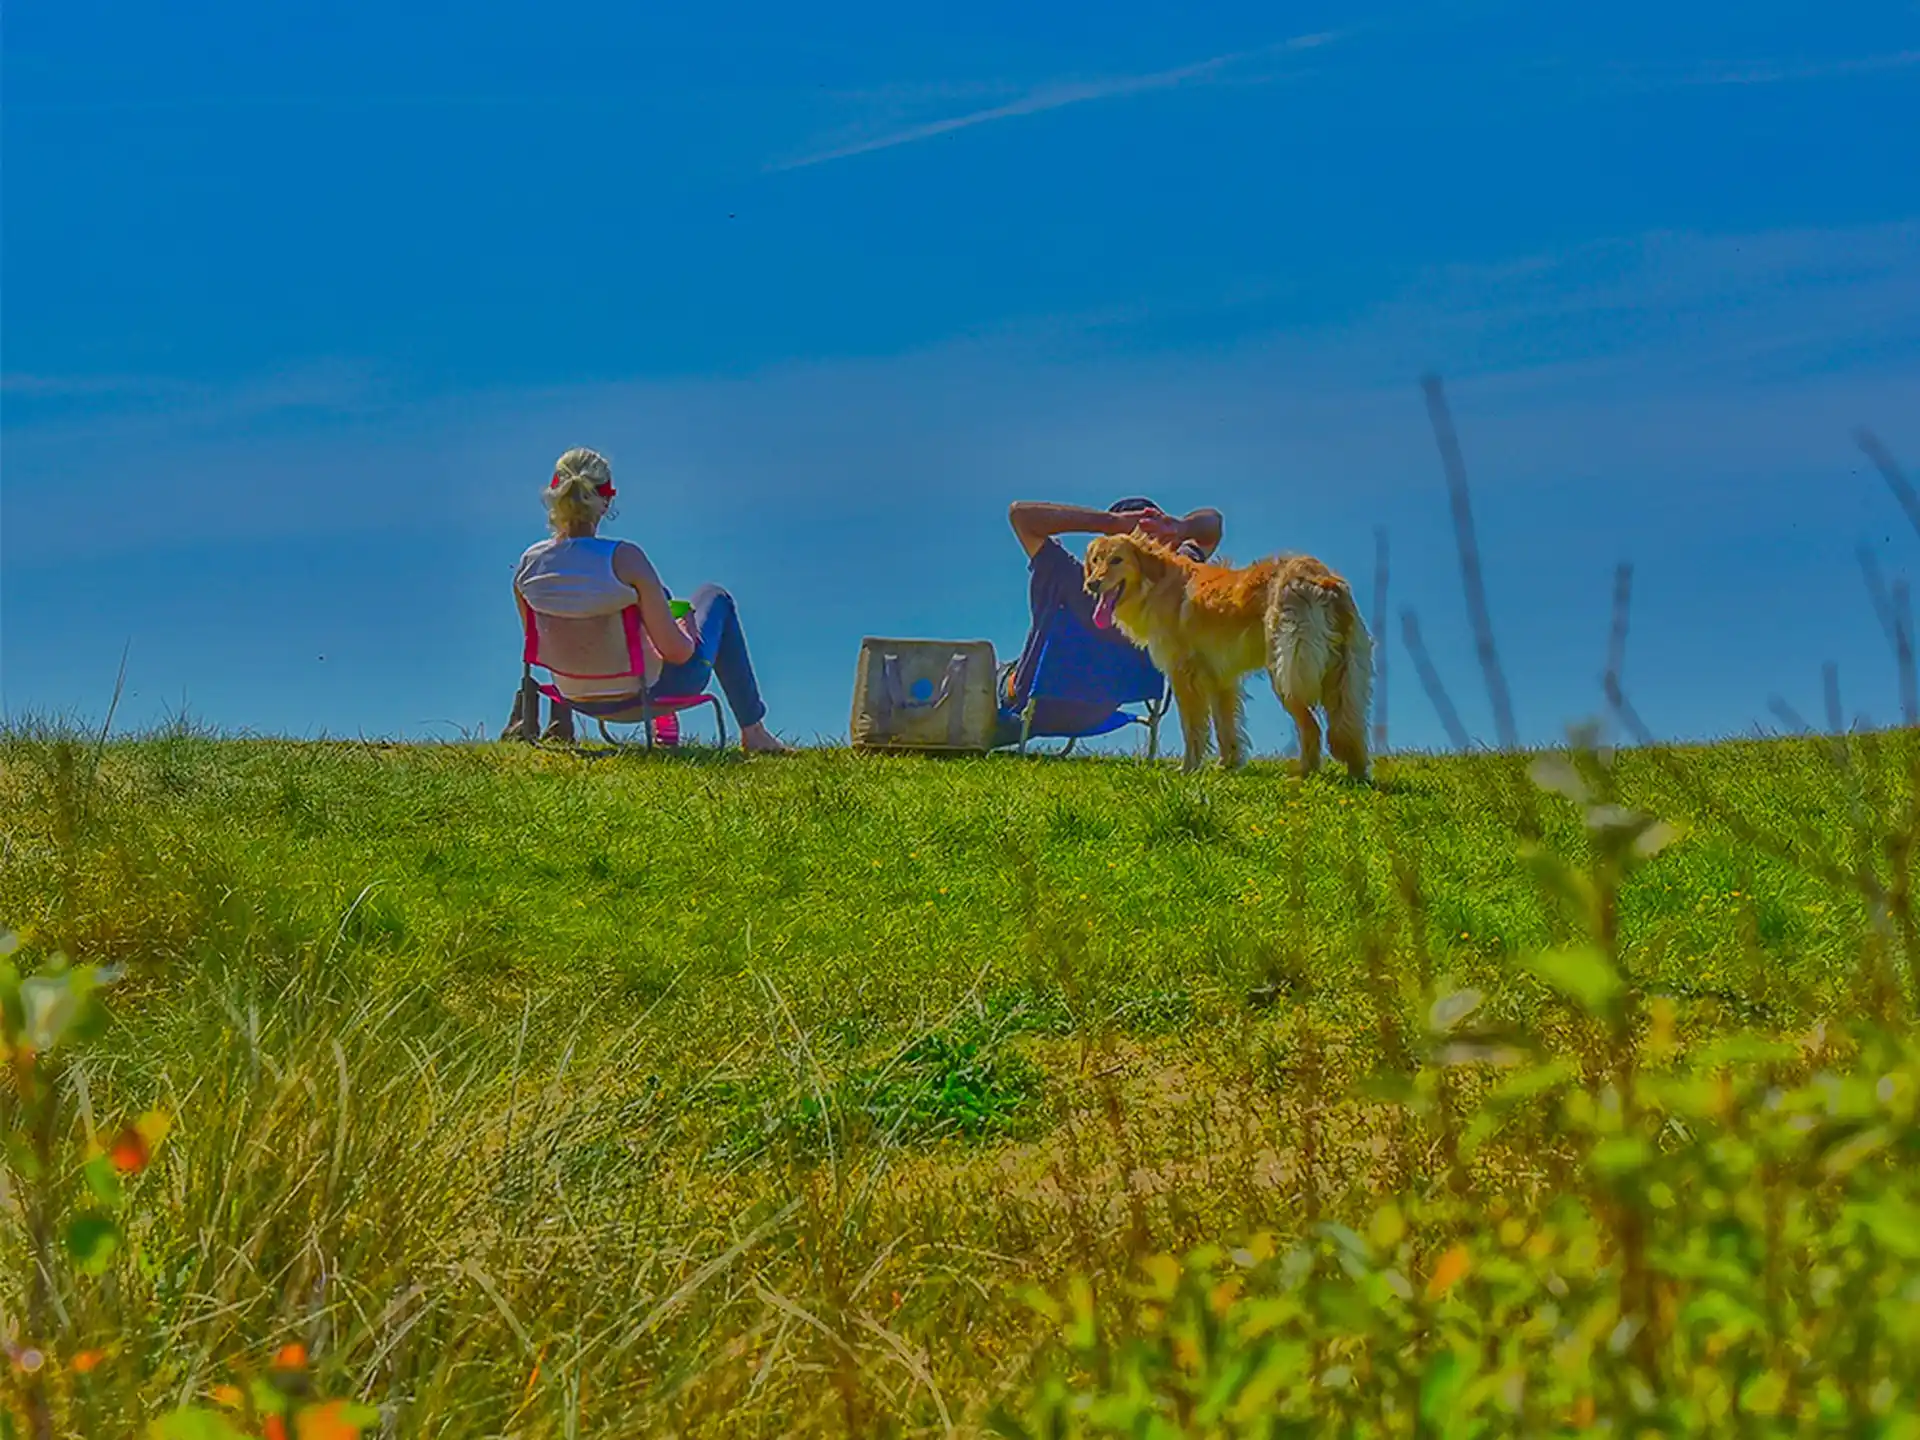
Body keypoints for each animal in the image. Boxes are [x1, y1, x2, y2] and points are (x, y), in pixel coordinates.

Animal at [1090, 537, 1374, 779]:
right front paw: (1226, 765)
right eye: (1095, 560)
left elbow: (1193, 728)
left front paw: (1188, 768)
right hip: (1342, 675)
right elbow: (1225, 728)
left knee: (1312, 727)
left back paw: (1303, 772)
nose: (1092, 583)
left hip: (1285, 673)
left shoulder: (1184, 675)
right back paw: (1356, 774)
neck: (1157, 579)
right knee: (1347, 728)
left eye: (1116, 560)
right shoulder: (1221, 680)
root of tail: (1322, 578)